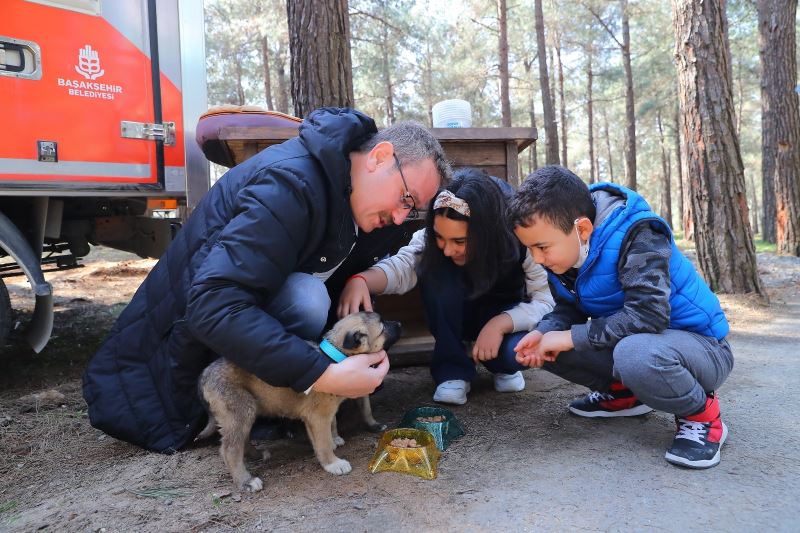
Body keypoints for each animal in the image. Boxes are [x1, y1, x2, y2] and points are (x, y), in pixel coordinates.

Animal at [196, 312, 400, 490]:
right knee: (229, 450)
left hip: (245, 412)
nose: (399, 323)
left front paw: (335, 438)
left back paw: (257, 455)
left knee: (242, 440)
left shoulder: (325, 411)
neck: (335, 356)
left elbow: (333, 424)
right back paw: (246, 481)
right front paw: (333, 463)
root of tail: (205, 374)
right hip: (239, 411)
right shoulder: (318, 416)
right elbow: (323, 442)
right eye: (383, 327)